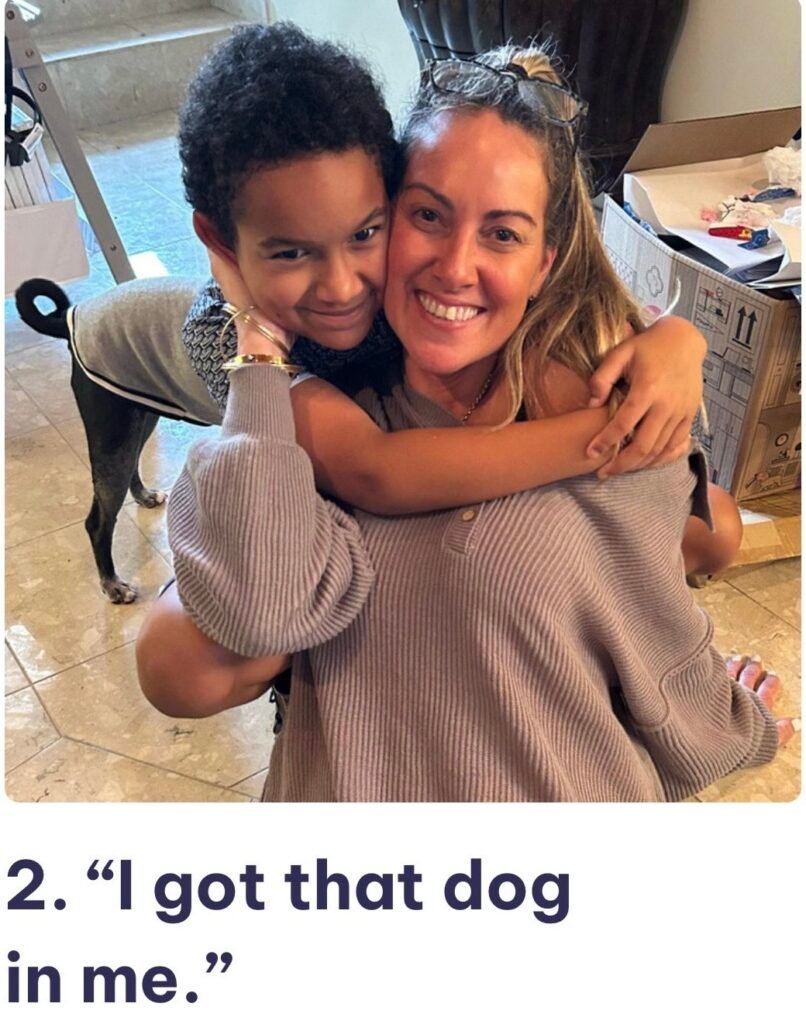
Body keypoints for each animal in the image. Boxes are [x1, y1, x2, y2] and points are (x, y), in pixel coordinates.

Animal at [15, 276, 222, 603]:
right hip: (113, 432)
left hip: (140, 414)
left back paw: (143, 495)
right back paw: (112, 584)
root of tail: (71, 317)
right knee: (98, 522)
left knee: (133, 462)